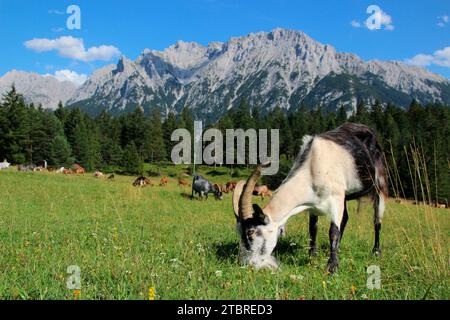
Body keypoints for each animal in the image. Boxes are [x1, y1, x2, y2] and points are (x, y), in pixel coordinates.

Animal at [232, 122, 386, 272]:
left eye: (251, 232)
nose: (245, 264)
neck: (314, 165)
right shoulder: (313, 204)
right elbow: (313, 229)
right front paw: (312, 256)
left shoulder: (336, 197)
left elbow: (333, 231)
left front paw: (332, 267)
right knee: (346, 218)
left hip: (380, 183)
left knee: (377, 220)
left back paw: (376, 251)